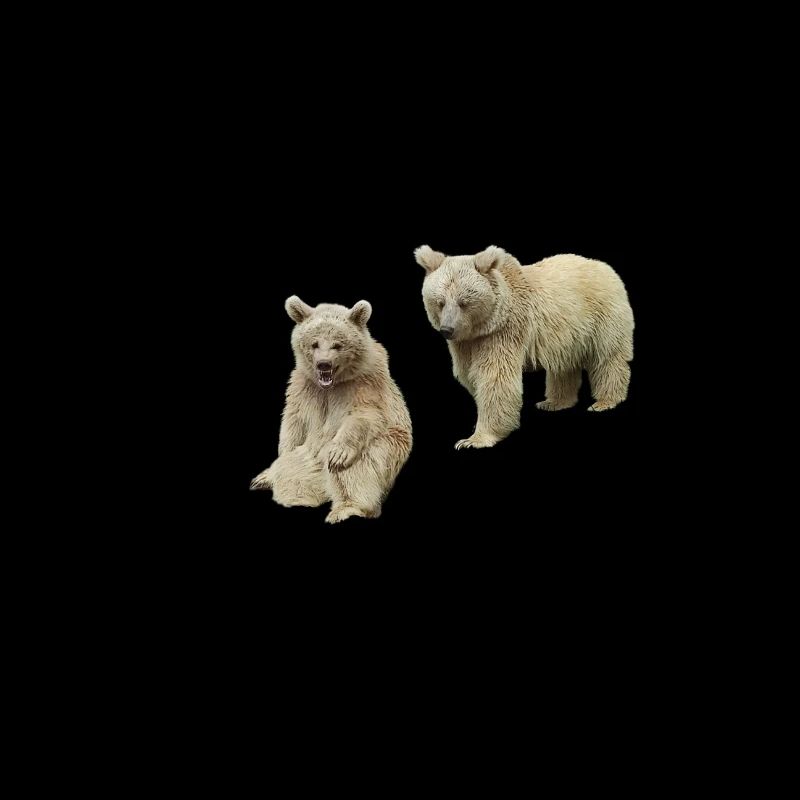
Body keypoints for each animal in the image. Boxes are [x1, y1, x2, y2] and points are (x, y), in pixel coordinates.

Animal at [250, 296, 412, 523]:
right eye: (314, 343)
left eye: (337, 344)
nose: (323, 364)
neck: (334, 384)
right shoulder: (304, 387)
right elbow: (293, 423)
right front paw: (277, 462)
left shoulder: (366, 384)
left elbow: (365, 415)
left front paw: (339, 453)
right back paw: (268, 479)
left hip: (389, 449)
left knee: (357, 467)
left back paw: (348, 507)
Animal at [414, 245, 634, 449]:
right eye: (440, 302)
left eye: (464, 302)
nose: (447, 330)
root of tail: (607, 269)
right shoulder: (468, 343)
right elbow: (470, 373)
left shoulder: (504, 331)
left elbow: (495, 377)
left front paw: (473, 440)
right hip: (567, 334)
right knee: (564, 365)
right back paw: (554, 402)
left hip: (603, 316)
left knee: (608, 357)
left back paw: (604, 401)